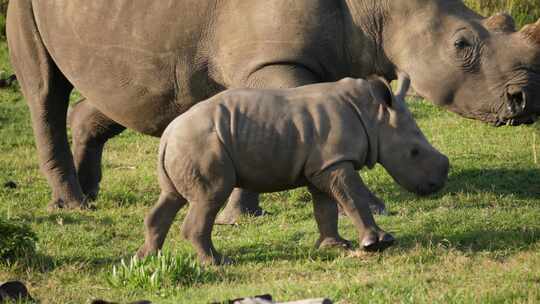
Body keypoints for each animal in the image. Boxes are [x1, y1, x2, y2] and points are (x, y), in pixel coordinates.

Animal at [137, 73, 450, 264]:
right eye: (414, 152)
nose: (439, 183)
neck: (373, 115)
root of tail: (167, 135)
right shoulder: (335, 161)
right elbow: (354, 198)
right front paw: (378, 243)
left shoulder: (323, 165)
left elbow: (326, 207)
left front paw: (335, 246)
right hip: (201, 144)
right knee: (210, 197)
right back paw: (218, 262)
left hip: (186, 145)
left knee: (172, 198)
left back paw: (146, 258)